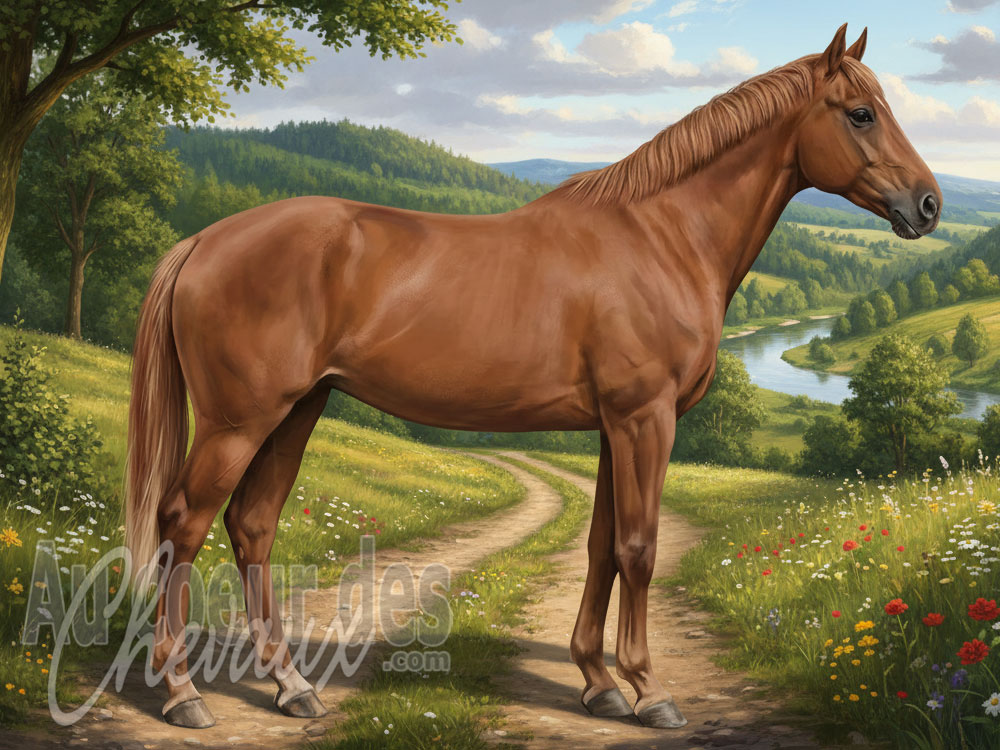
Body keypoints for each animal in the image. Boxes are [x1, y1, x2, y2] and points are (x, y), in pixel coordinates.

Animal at [125, 23, 941, 730]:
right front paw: (649, 691)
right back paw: (182, 693)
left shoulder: (616, 427)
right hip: (240, 421)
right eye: (861, 113)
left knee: (252, 526)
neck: (663, 236)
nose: (928, 204)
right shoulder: (646, 419)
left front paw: (599, 682)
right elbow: (639, 549)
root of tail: (201, 242)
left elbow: (603, 545)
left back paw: (292, 687)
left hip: (297, 410)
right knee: (183, 523)